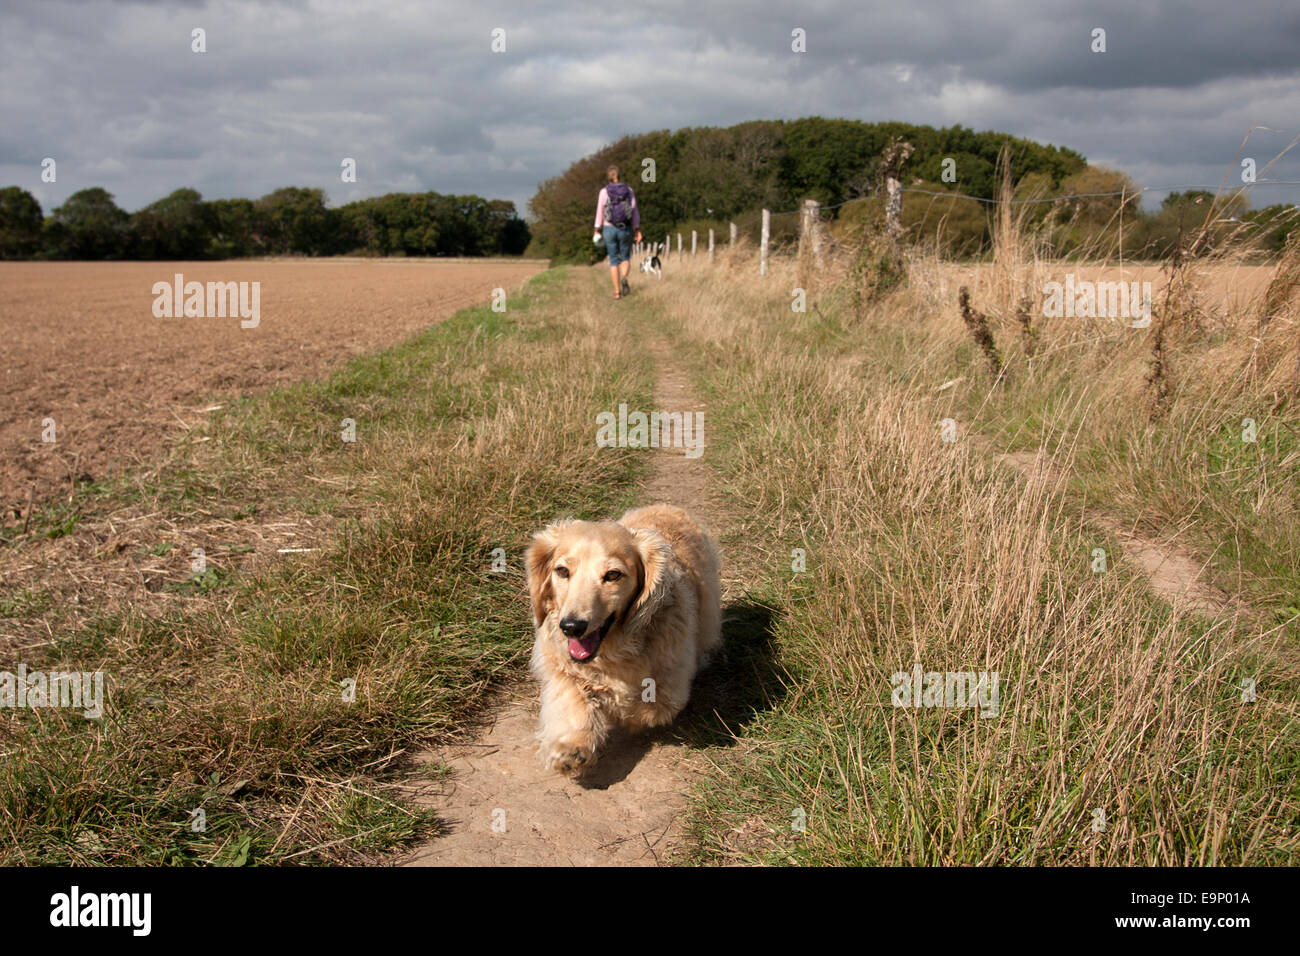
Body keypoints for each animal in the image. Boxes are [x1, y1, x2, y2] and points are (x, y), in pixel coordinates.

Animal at [522, 504, 722, 775]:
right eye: (562, 571)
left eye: (613, 575)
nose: (572, 627)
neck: (612, 651)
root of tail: (667, 507)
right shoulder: (560, 668)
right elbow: (572, 699)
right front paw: (570, 748)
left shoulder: (672, 686)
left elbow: (647, 709)